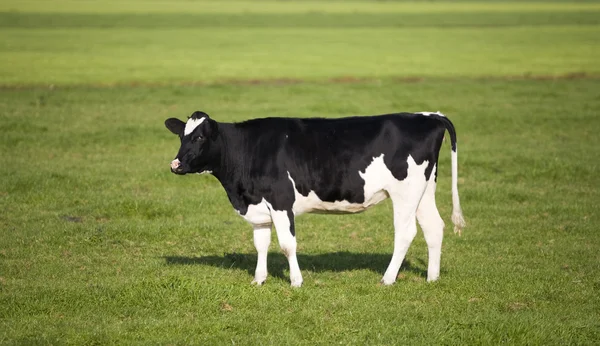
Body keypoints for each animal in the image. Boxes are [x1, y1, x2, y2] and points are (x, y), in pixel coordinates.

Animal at [164, 111, 464, 286]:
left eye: (200, 137)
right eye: (181, 136)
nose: (175, 164)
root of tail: (429, 115)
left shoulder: (281, 201)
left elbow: (287, 245)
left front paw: (296, 281)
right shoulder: (259, 207)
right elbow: (261, 244)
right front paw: (259, 280)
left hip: (405, 192)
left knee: (405, 232)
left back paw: (388, 278)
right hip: (424, 190)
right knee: (433, 227)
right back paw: (432, 278)